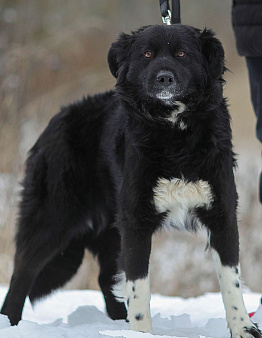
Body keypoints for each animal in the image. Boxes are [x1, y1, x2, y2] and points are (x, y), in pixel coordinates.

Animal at [1, 23, 260, 336]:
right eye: (147, 54)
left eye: (182, 53)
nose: (164, 77)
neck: (174, 132)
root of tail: (58, 117)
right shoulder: (136, 220)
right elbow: (138, 286)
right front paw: (140, 331)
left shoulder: (221, 214)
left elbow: (231, 282)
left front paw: (244, 329)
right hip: (53, 218)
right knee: (22, 273)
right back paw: (11, 323)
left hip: (110, 227)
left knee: (103, 278)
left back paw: (115, 323)